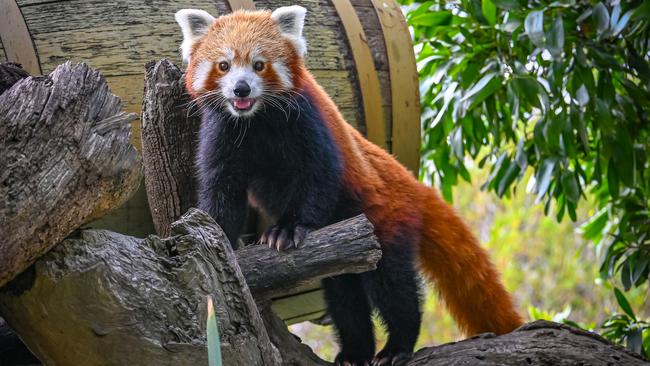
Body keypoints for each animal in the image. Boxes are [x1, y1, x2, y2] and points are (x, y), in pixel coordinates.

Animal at [175, 6, 520, 366]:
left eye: (259, 64)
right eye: (224, 65)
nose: (241, 89)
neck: (256, 121)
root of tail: (412, 184)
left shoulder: (308, 121)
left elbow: (320, 175)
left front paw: (286, 230)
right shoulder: (223, 132)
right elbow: (222, 191)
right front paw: (220, 238)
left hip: (387, 221)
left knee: (393, 286)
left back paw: (397, 346)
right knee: (345, 295)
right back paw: (355, 351)